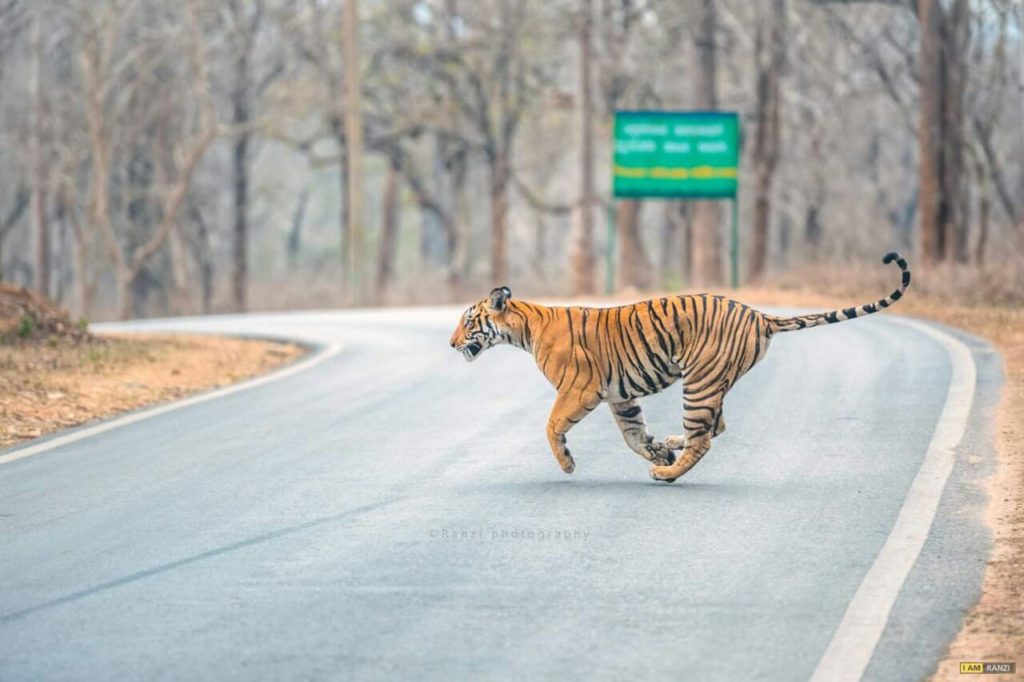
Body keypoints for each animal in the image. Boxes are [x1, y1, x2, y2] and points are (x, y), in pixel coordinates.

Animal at [448, 251, 913, 481]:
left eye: (468, 321)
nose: (451, 344)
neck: (524, 327)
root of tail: (759, 314)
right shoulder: (620, 395)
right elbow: (633, 435)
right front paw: (655, 447)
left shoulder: (580, 390)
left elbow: (550, 426)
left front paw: (567, 464)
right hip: (712, 384)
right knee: (715, 427)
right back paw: (670, 449)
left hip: (700, 382)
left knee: (705, 437)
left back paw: (667, 473)